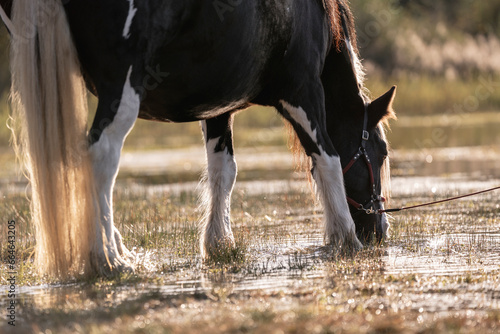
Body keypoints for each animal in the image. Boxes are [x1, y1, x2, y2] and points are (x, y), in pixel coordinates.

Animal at [1, 0, 396, 276]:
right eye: (381, 152)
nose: (379, 229)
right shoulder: (303, 91)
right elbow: (327, 159)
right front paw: (346, 237)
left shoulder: (219, 106)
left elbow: (224, 170)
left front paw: (218, 243)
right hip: (121, 87)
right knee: (102, 158)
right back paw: (110, 258)